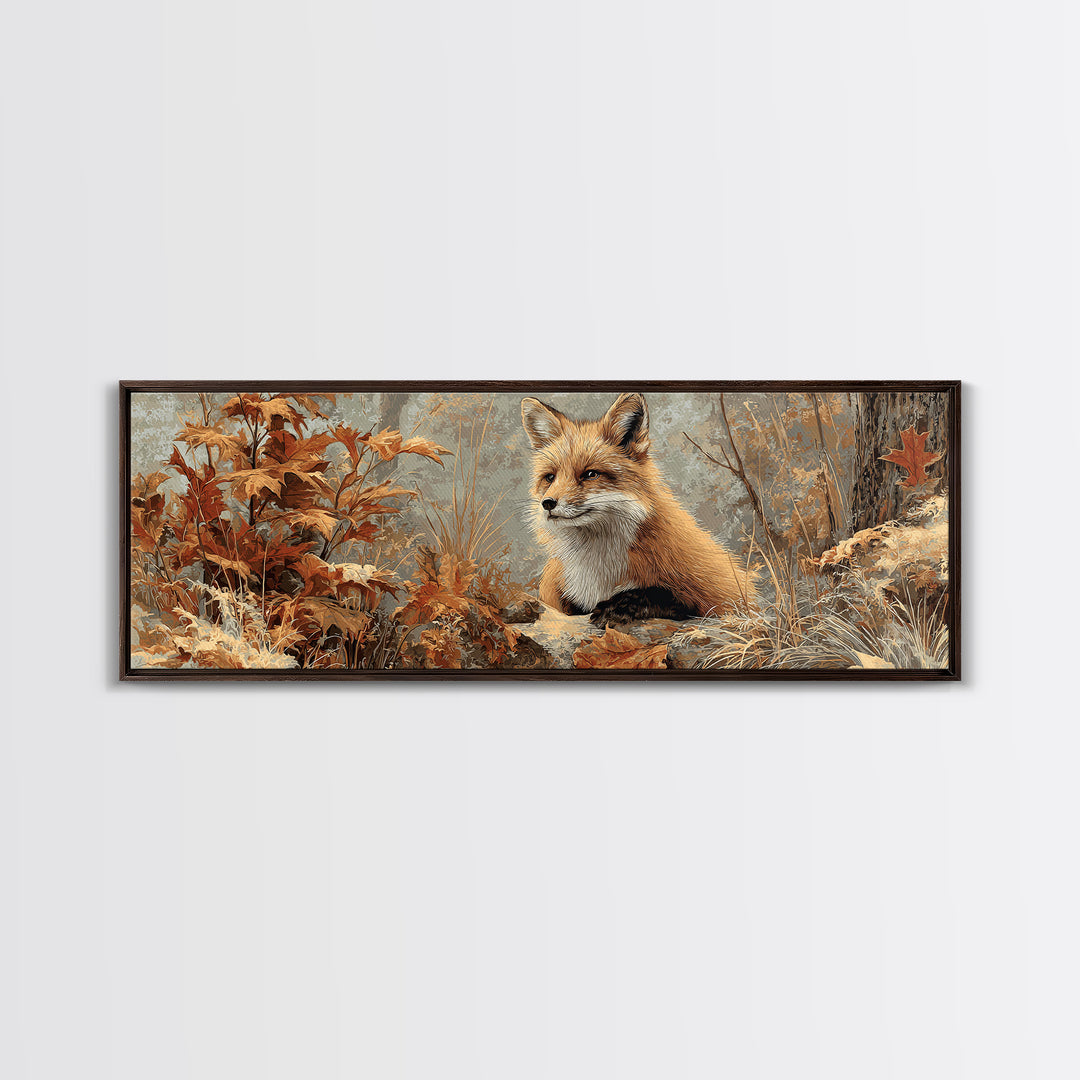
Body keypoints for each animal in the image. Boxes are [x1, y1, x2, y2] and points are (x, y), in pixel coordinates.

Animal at [521, 392, 756, 625]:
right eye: (550, 477)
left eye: (590, 474)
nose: (548, 503)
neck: (598, 567)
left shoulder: (722, 594)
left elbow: (663, 595)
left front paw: (619, 606)